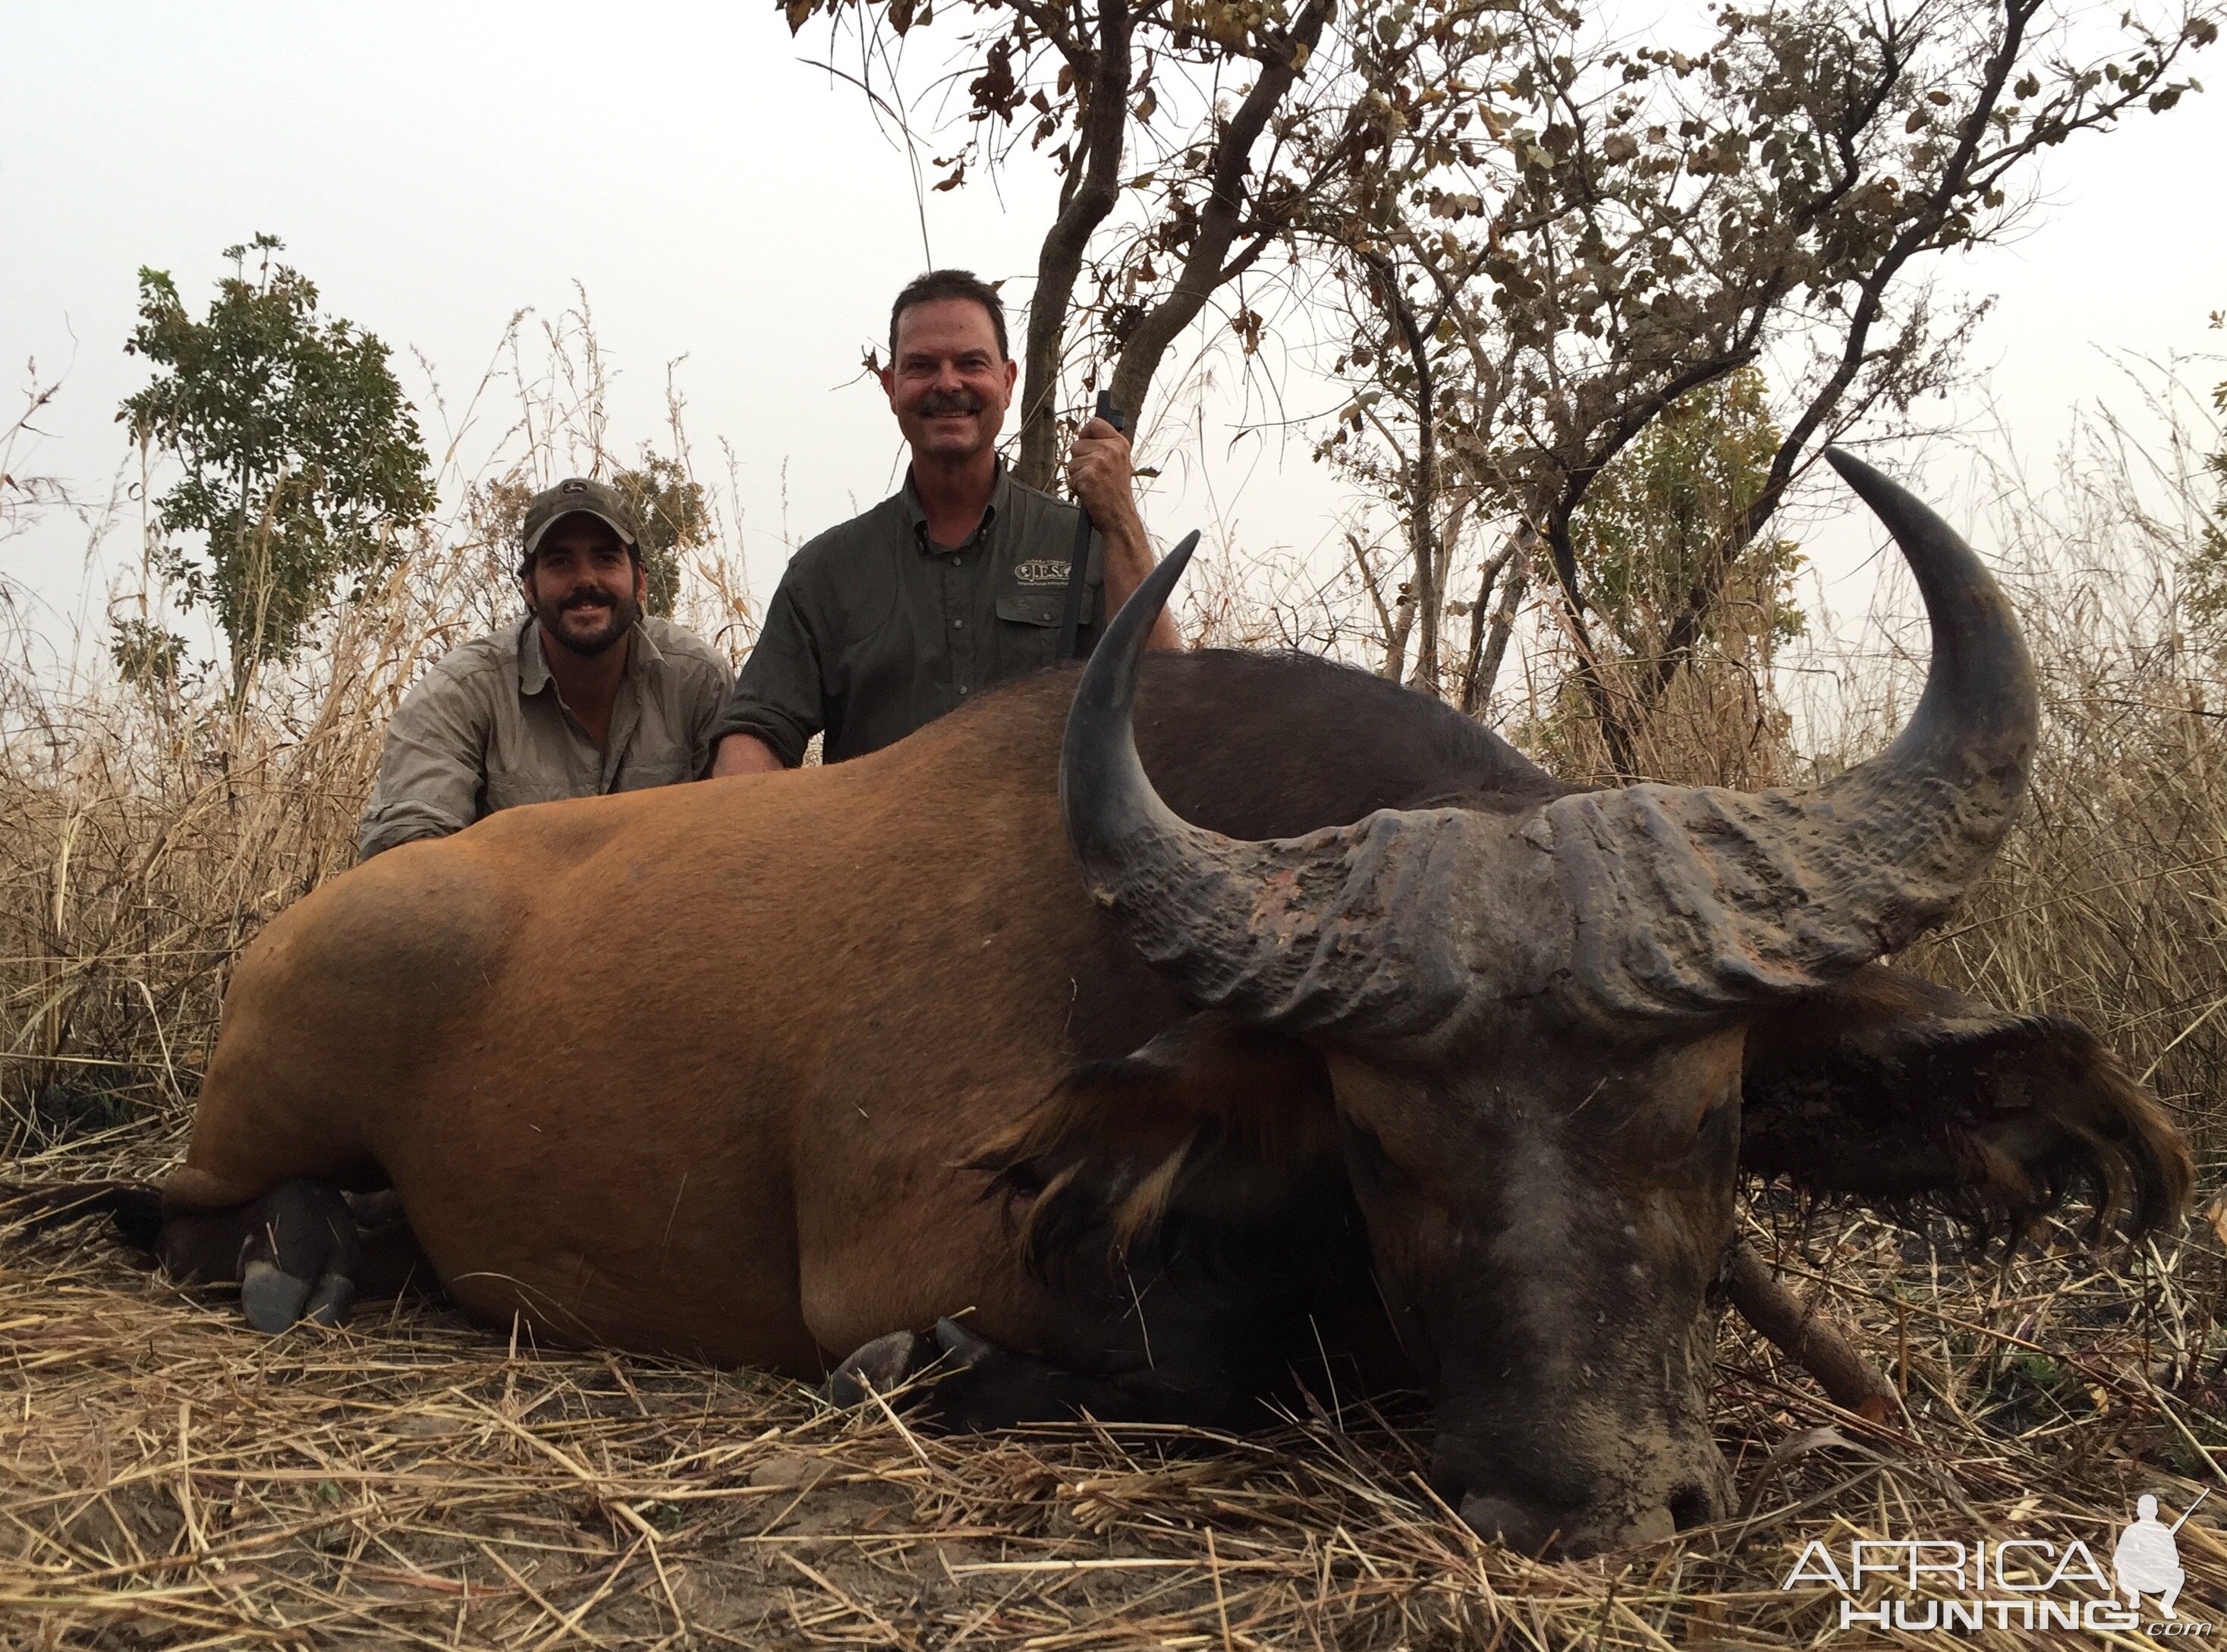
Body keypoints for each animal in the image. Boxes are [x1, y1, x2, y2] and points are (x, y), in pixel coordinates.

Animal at [112, 456, 2182, 1567]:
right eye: (1377, 1136)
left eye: (1718, 1115)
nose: (1587, 1504)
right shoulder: (905, 1255)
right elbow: (1183, 1365)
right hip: (261, 1112)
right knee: (172, 1214)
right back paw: (299, 1255)